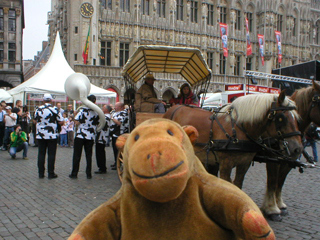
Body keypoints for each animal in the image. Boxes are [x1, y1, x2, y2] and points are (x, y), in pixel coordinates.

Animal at [164, 90, 304, 189]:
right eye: (281, 118)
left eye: (296, 118)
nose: (297, 149)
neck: (239, 129)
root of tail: (173, 108)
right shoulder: (226, 164)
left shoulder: (244, 164)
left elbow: (237, 185)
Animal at [262, 80, 320, 221]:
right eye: (281, 118)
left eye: (296, 118)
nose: (297, 147)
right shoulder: (273, 159)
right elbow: (272, 181)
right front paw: (272, 209)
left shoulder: (289, 161)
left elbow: (280, 182)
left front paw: (280, 205)